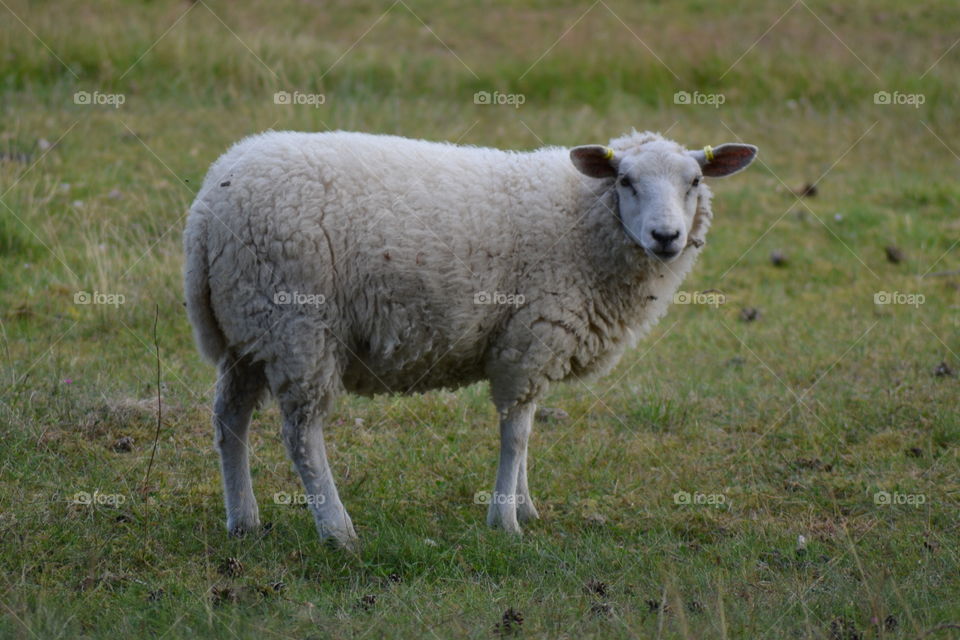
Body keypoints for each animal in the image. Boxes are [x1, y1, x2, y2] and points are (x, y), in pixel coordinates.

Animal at [183, 129, 757, 549]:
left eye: (694, 180)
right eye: (625, 180)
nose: (666, 237)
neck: (580, 219)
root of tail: (208, 206)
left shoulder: (533, 345)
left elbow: (527, 431)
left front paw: (526, 505)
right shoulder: (529, 340)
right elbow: (516, 434)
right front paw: (506, 521)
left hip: (247, 332)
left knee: (229, 420)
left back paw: (244, 522)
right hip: (298, 327)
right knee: (301, 434)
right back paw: (338, 531)